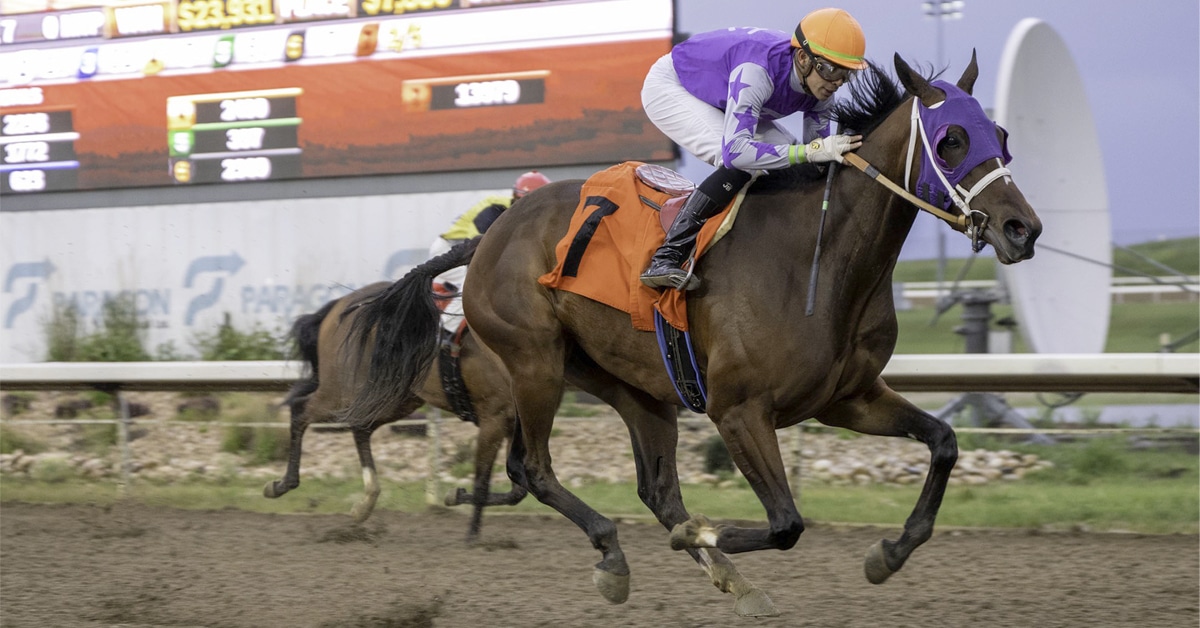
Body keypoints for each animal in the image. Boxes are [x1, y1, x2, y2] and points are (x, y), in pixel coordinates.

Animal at [264, 278, 527, 542]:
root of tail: (340, 303)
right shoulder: (494, 417)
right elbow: (484, 482)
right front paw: (471, 535)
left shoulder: (511, 425)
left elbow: (518, 491)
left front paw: (456, 496)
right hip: (342, 392)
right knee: (301, 410)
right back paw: (282, 485)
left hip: (394, 398)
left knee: (361, 427)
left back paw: (365, 503)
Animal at [344, 52, 1042, 616]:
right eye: (951, 140)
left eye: (1002, 134)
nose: (1021, 229)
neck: (820, 261)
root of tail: (489, 234)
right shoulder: (739, 410)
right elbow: (786, 523)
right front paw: (704, 535)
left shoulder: (848, 398)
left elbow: (944, 443)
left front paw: (887, 554)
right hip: (535, 359)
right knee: (532, 467)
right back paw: (617, 555)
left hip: (637, 386)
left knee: (655, 488)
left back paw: (712, 574)